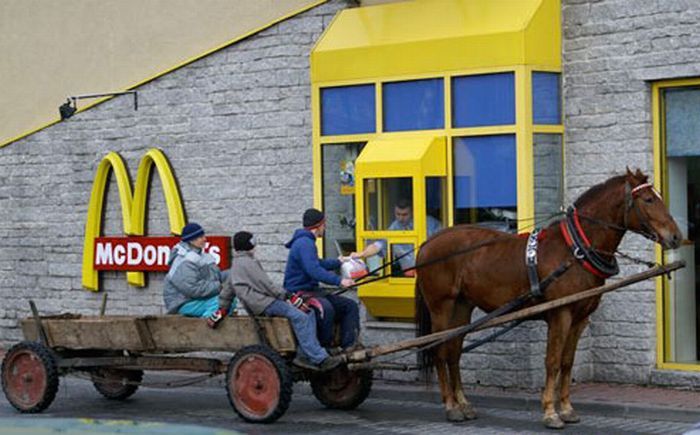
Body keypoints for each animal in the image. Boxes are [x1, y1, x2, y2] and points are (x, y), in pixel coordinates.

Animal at [412, 169, 680, 430]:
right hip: (441, 307)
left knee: (454, 351)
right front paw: (551, 412)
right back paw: (451, 406)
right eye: (649, 199)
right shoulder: (560, 314)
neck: (574, 251)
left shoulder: (580, 318)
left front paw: (567, 409)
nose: (676, 236)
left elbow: (567, 362)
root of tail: (428, 242)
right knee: (439, 351)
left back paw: (464, 403)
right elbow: (552, 361)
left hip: (462, 307)